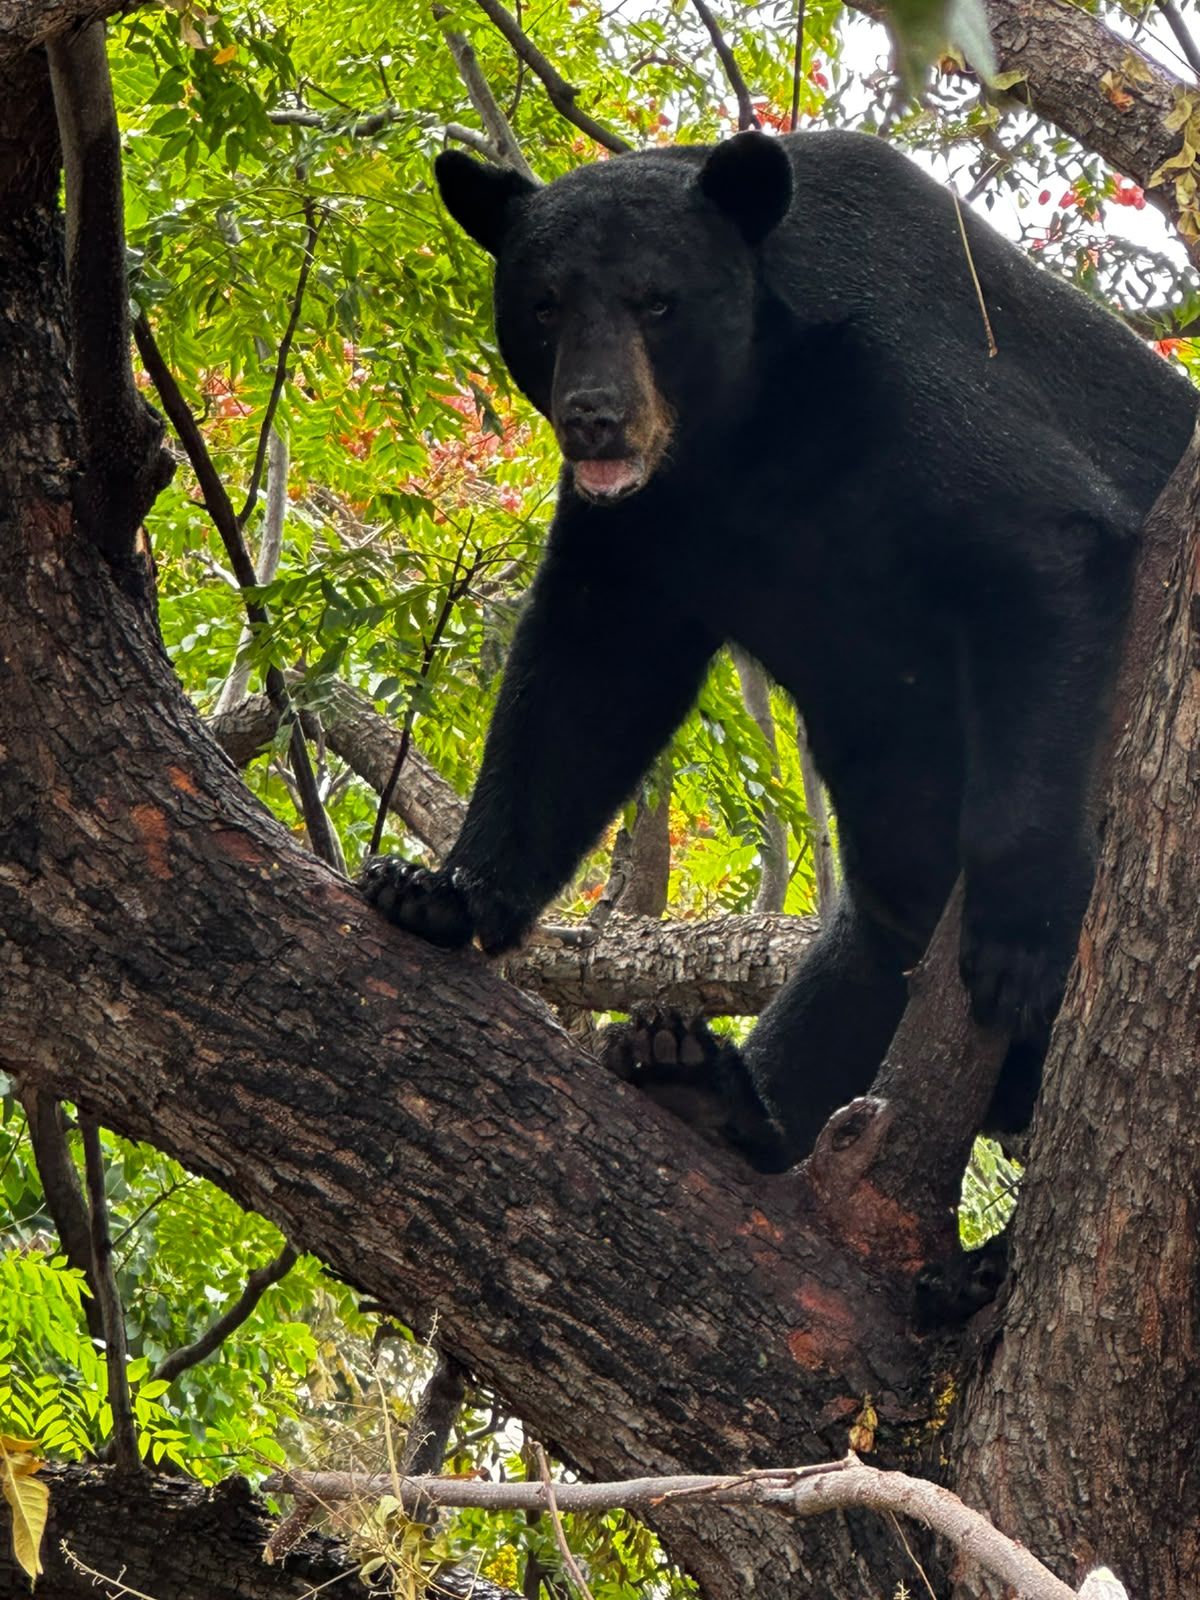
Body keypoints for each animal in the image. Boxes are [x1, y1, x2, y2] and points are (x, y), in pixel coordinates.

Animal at [362, 129, 1197, 1169]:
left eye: (658, 301)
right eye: (544, 305)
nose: (595, 414)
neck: (743, 432)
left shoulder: (910, 370)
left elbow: (1043, 549)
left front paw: (1018, 928)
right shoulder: (652, 527)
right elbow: (584, 681)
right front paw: (438, 891)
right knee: (855, 975)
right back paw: (704, 1082)